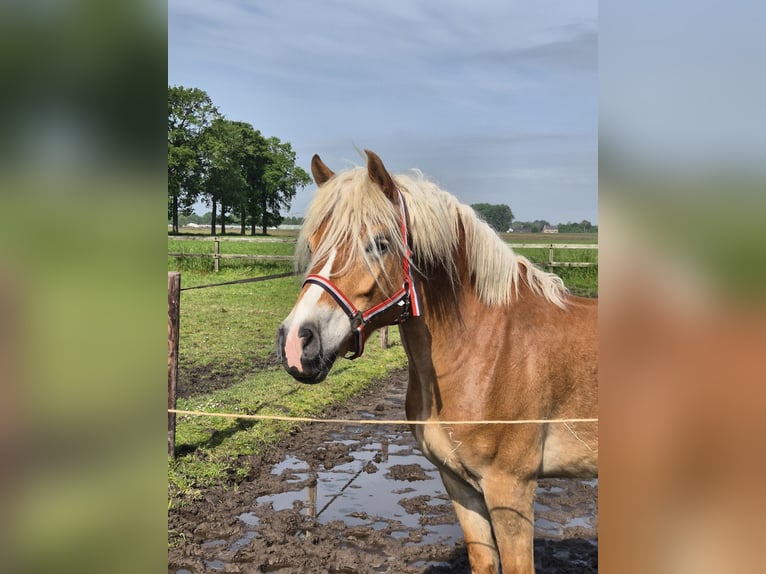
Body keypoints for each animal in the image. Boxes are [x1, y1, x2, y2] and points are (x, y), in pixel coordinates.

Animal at [276, 150, 598, 574]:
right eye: (314, 243)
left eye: (379, 243)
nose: (296, 342)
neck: (488, 347)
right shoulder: (459, 484)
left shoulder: (510, 488)